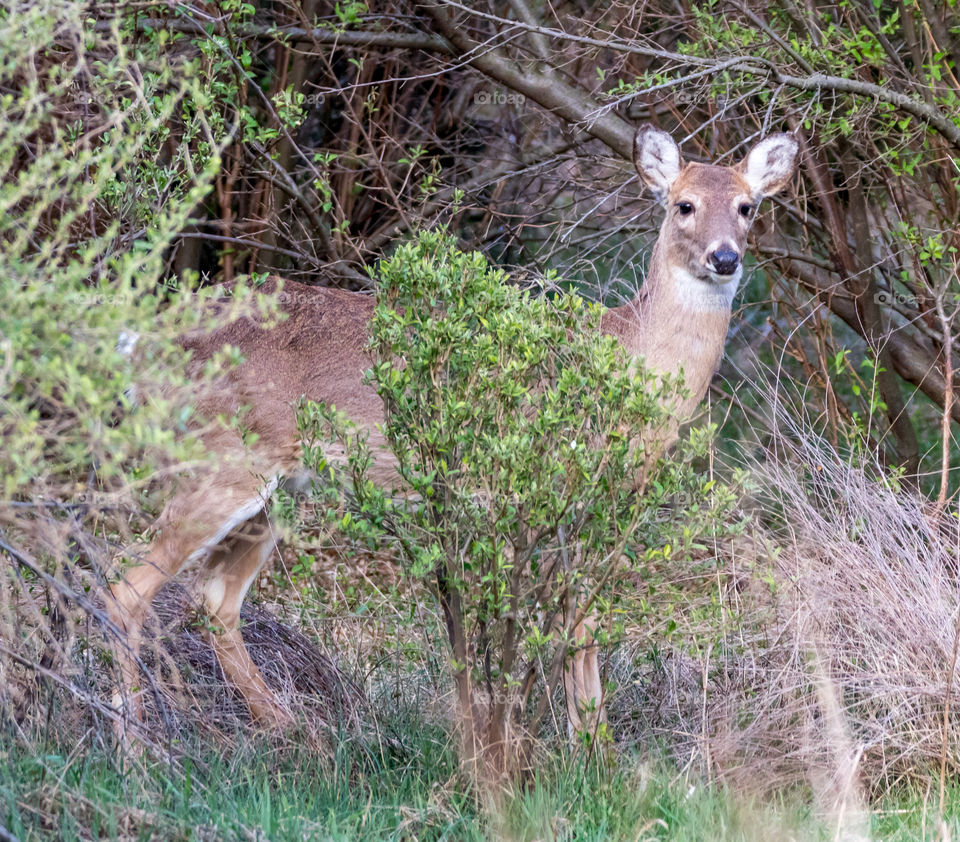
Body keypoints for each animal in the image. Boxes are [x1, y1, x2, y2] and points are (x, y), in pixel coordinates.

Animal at [107, 124, 798, 744]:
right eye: (684, 204)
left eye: (747, 206)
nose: (725, 257)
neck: (628, 362)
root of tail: (142, 341)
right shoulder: (555, 492)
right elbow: (576, 620)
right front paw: (589, 753)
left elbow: (577, 617)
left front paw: (585, 742)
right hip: (218, 459)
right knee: (126, 590)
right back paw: (134, 746)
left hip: (280, 490)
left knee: (213, 602)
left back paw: (292, 731)